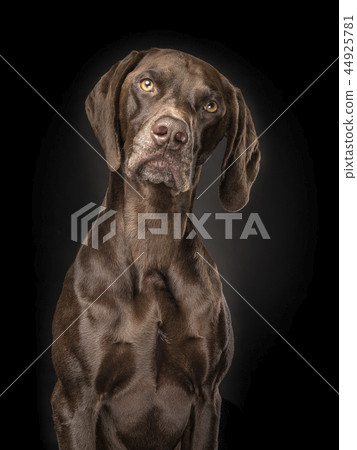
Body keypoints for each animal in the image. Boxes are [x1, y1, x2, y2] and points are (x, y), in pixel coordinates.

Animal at [50, 47, 258, 448]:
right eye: (147, 84)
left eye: (211, 106)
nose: (172, 134)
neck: (152, 236)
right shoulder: (75, 401)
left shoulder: (207, 398)